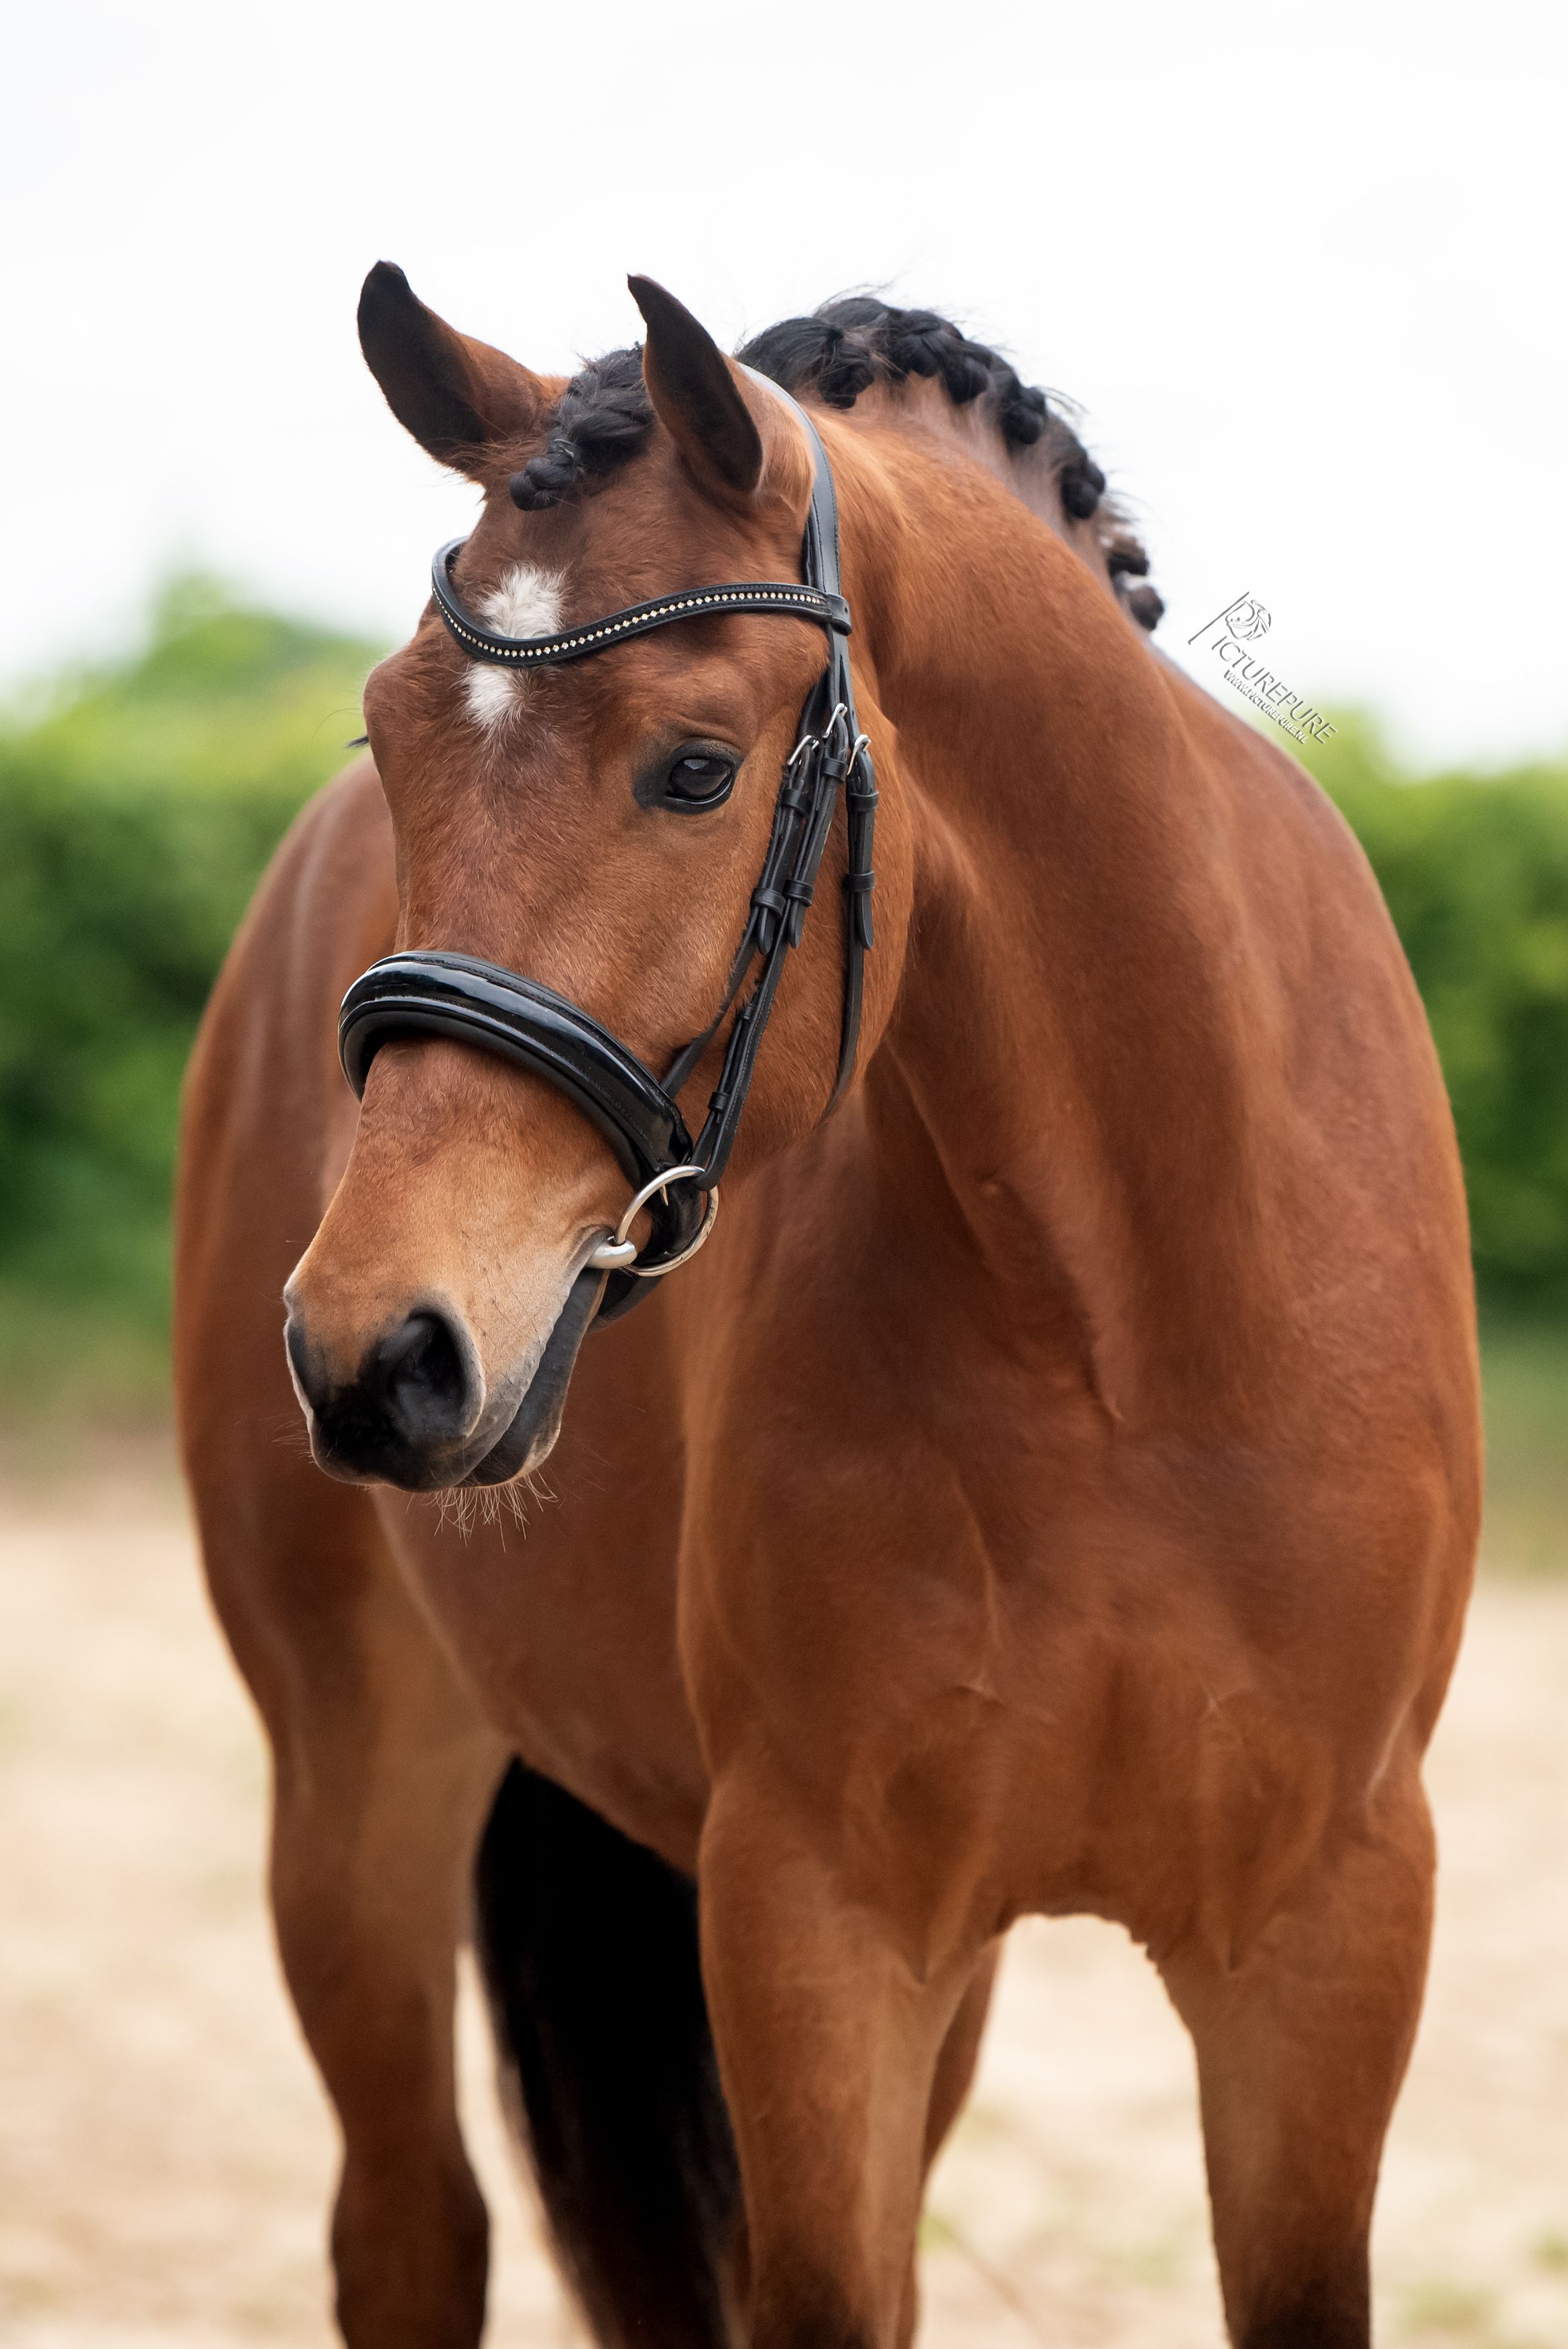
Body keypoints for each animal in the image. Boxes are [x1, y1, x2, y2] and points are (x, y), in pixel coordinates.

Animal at [173, 266, 1481, 2349]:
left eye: (697, 765)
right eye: (390, 733)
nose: (374, 1352)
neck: (1130, 1321)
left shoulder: (1328, 1935)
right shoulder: (813, 1922)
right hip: (351, 1784)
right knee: (408, 2229)